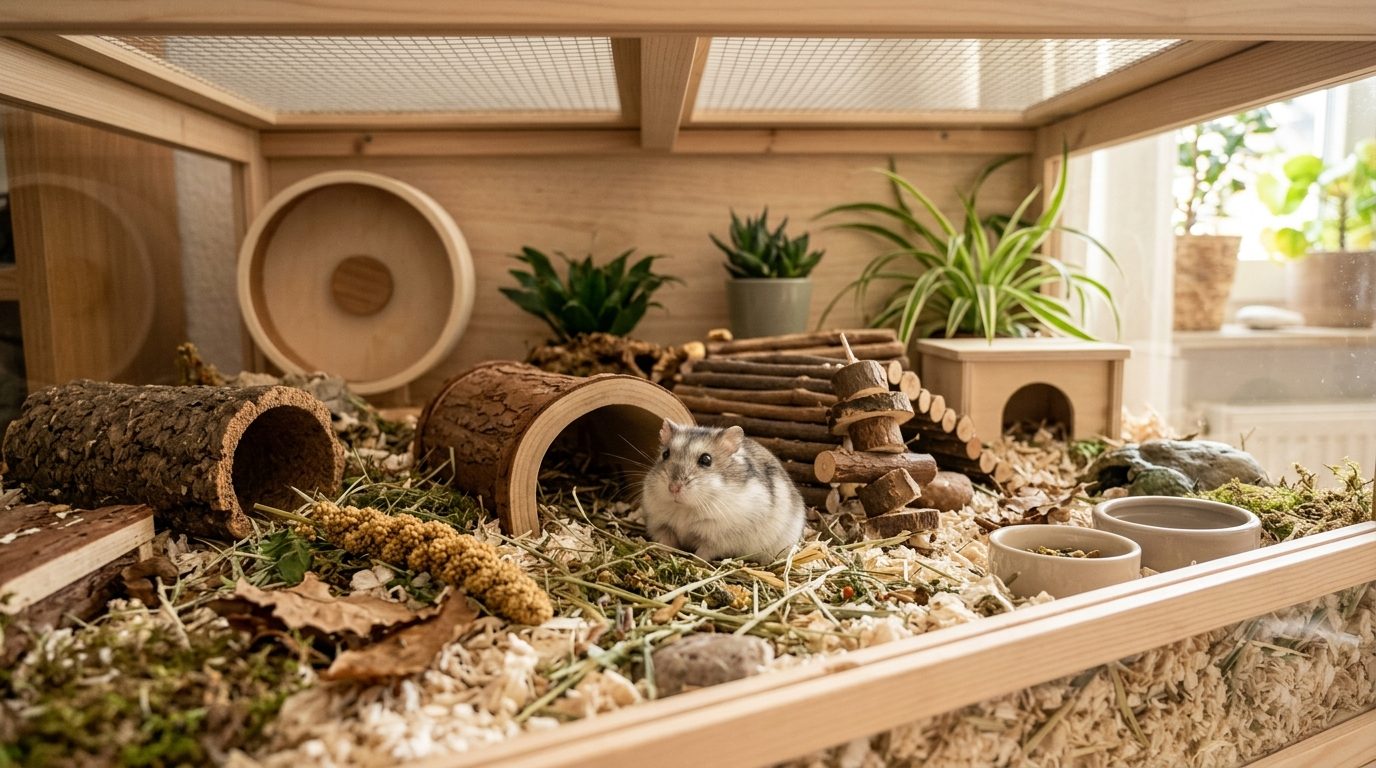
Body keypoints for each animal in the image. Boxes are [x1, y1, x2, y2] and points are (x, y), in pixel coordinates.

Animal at [641, 420, 805, 562]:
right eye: (665, 454)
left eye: (706, 460)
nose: (673, 488)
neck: (685, 508)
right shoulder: (661, 526)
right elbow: (666, 542)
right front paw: (662, 553)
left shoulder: (719, 538)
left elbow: (704, 552)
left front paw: (696, 562)